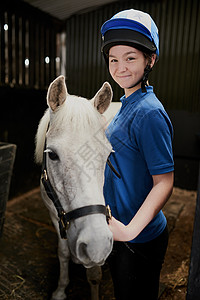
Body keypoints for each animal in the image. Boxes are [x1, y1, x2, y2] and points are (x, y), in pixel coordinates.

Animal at [35, 75, 113, 300]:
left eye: (108, 155)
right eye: (52, 154)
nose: (96, 244)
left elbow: (94, 273)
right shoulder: (55, 215)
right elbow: (63, 253)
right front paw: (60, 290)